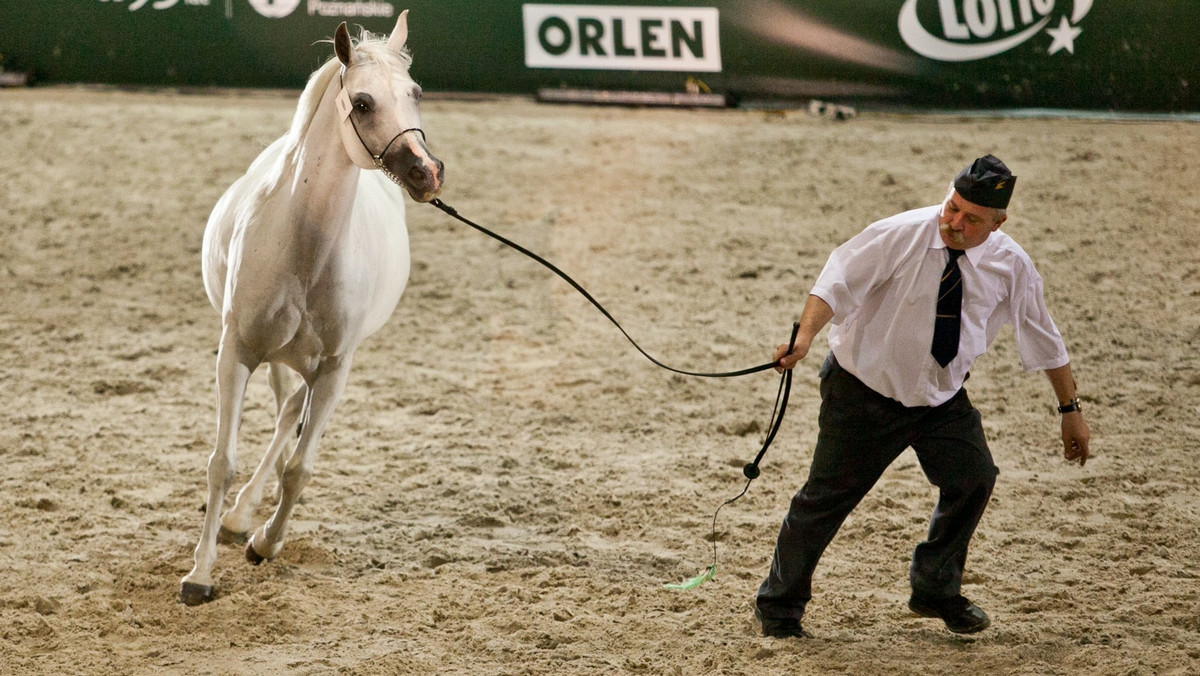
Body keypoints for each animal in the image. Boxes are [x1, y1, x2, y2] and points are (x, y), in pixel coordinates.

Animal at [177, 10, 441, 605]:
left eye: (415, 92)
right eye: (362, 102)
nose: (427, 173)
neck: (305, 253)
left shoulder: (336, 369)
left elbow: (299, 468)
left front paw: (265, 544)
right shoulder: (236, 352)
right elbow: (221, 462)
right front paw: (200, 574)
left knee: (288, 416)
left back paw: (246, 520)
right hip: (273, 358)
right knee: (280, 411)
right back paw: (236, 516)